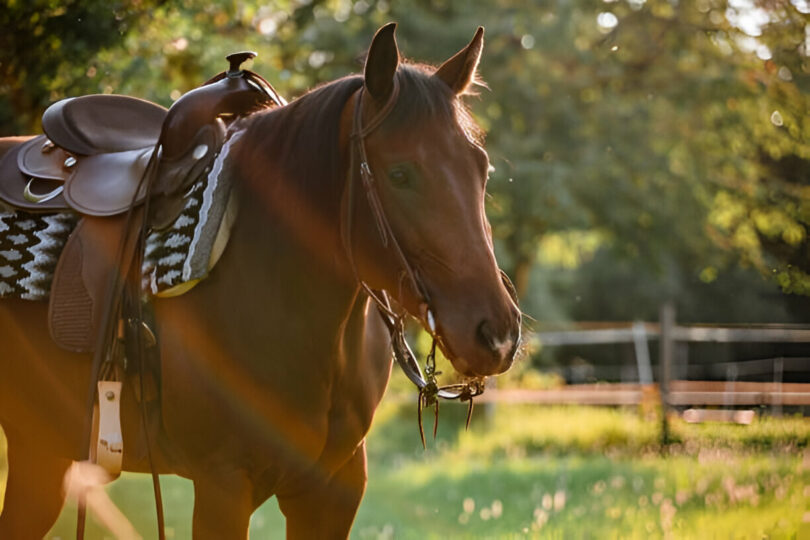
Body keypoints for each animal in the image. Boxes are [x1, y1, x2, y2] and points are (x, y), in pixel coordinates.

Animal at [0, 23, 521, 538]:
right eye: (399, 173)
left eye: (483, 167)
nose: (496, 335)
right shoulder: (223, 485)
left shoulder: (334, 490)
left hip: (39, 451)